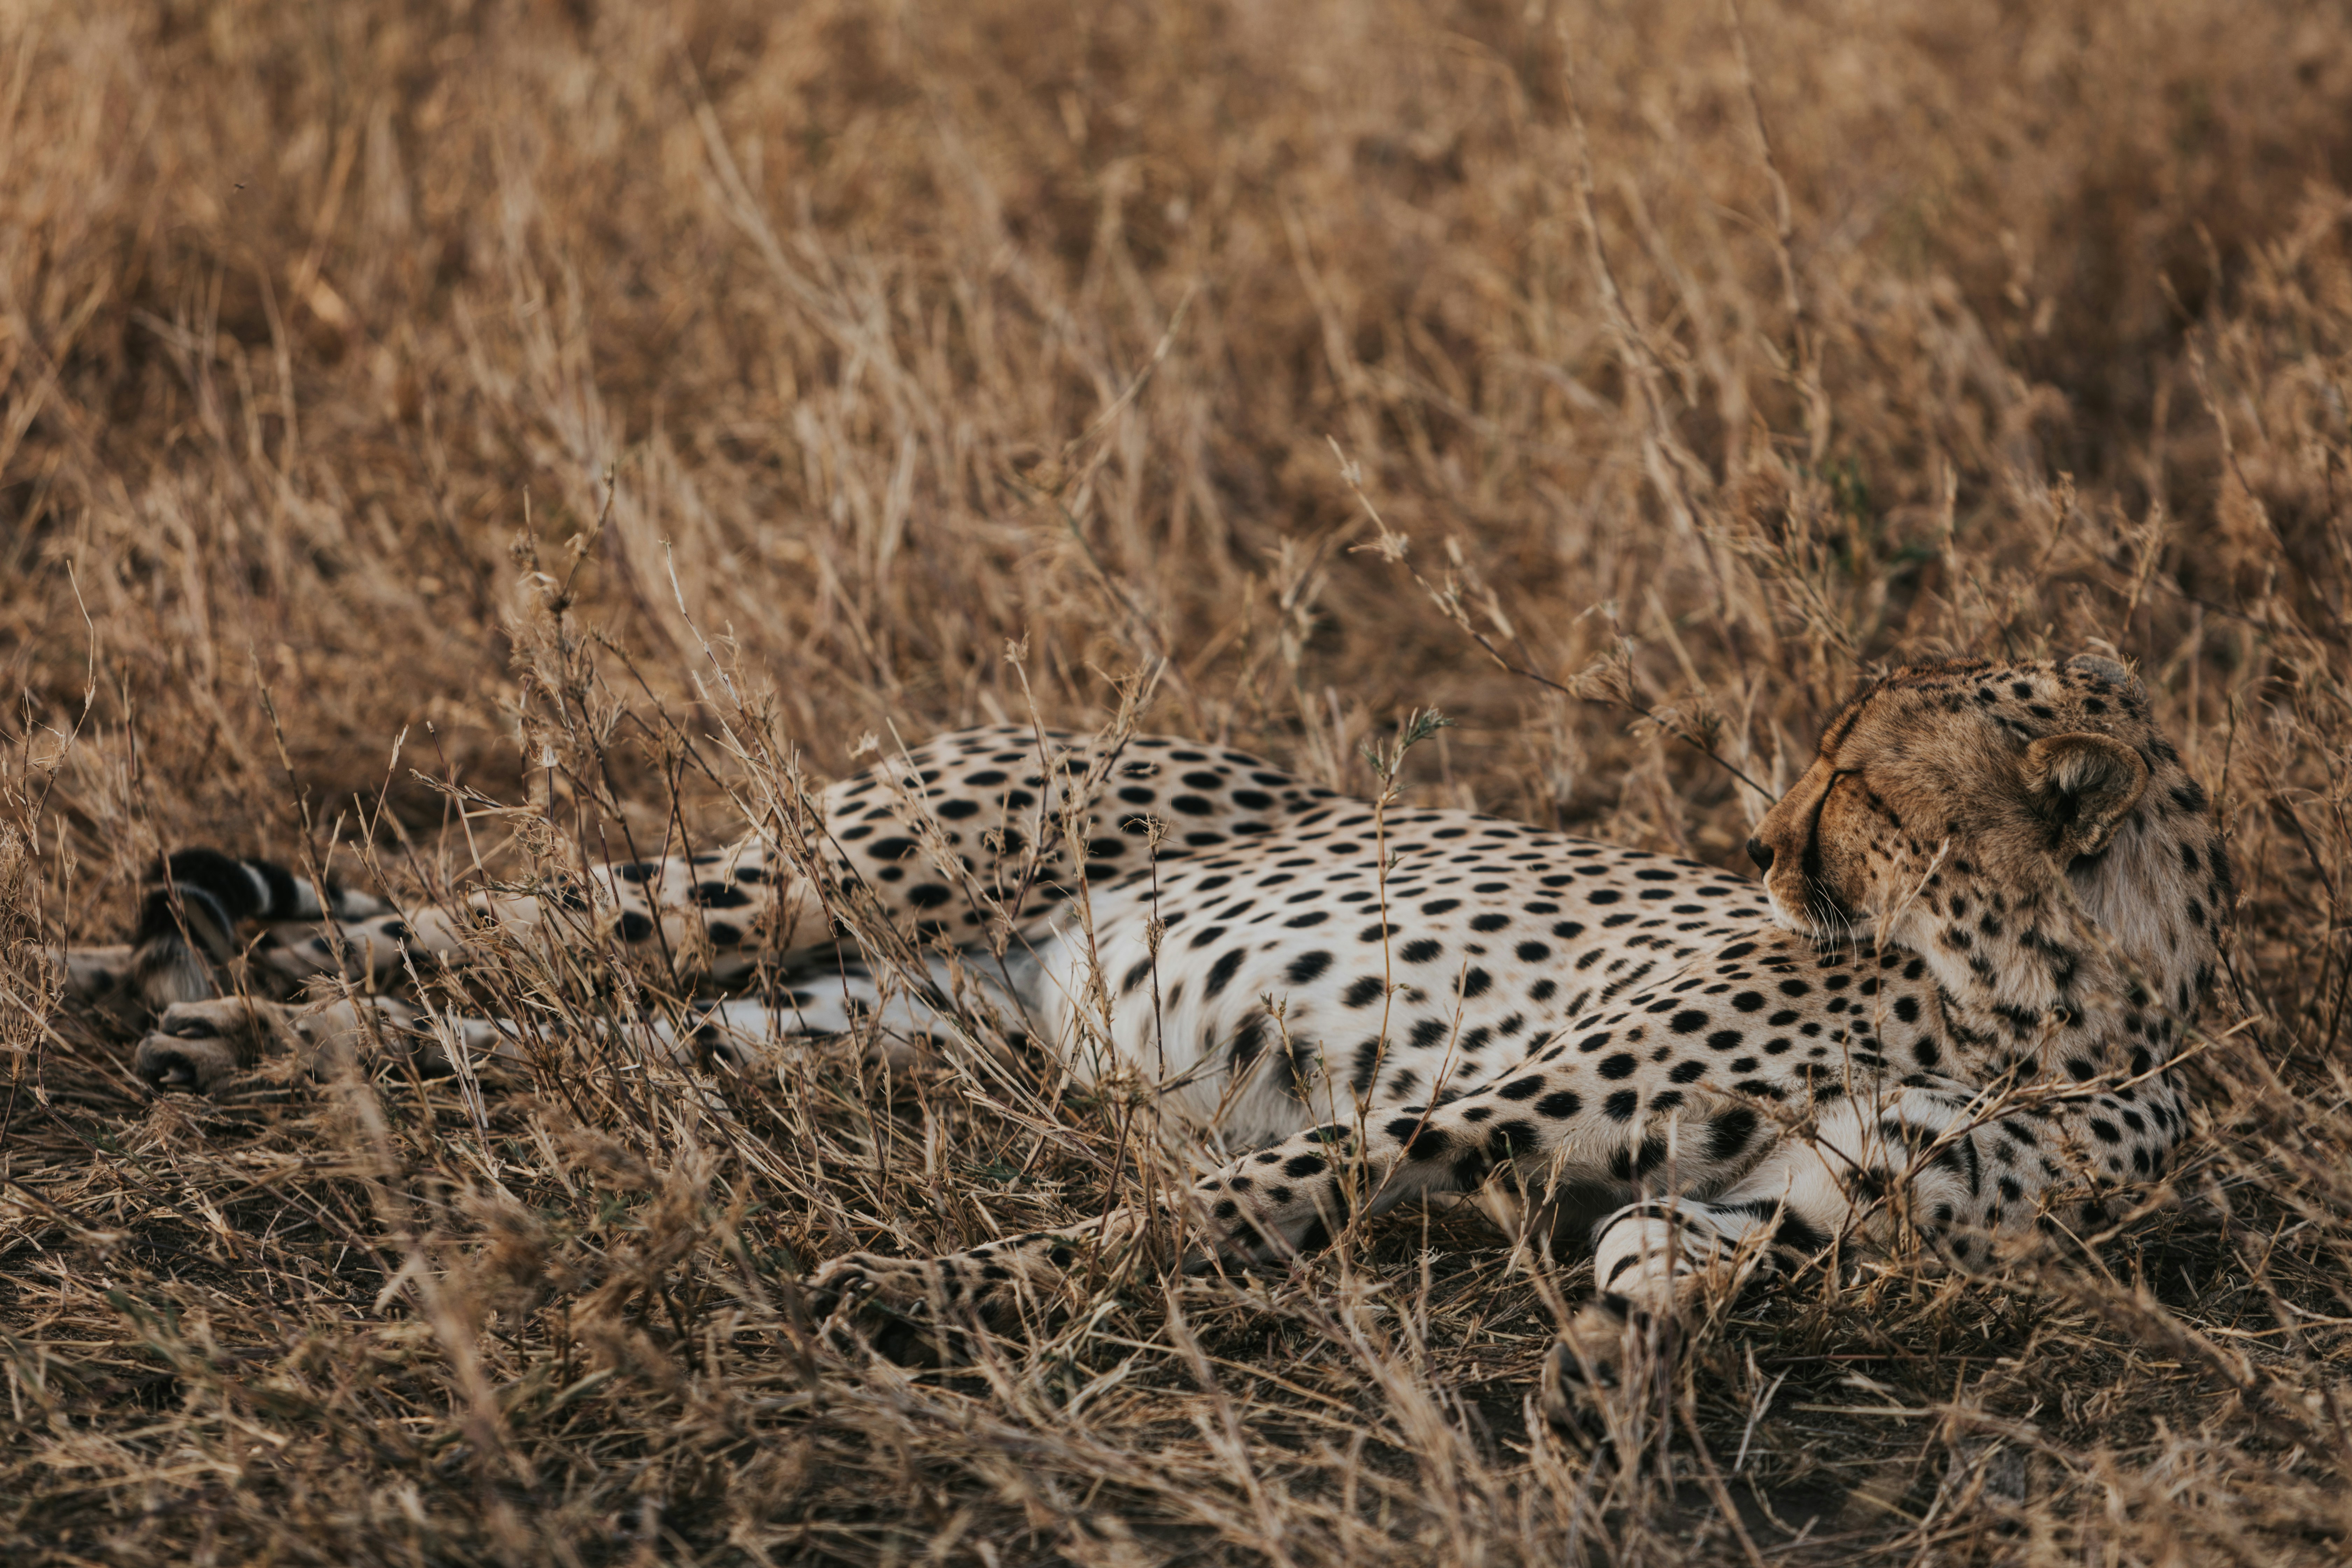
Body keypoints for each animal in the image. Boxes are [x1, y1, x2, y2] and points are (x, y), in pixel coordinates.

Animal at [56, 654, 2230, 1420]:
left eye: (1854, 775)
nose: (1761, 843)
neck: (2052, 1001)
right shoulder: (1463, 1113)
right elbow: (1212, 1215)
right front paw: (909, 1296)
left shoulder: (1759, 1209)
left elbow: (1658, 1274)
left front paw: (1604, 1394)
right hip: (824, 879)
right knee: (503, 927)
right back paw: (162, 986)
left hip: (884, 1026)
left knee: (566, 1041)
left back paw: (223, 1039)